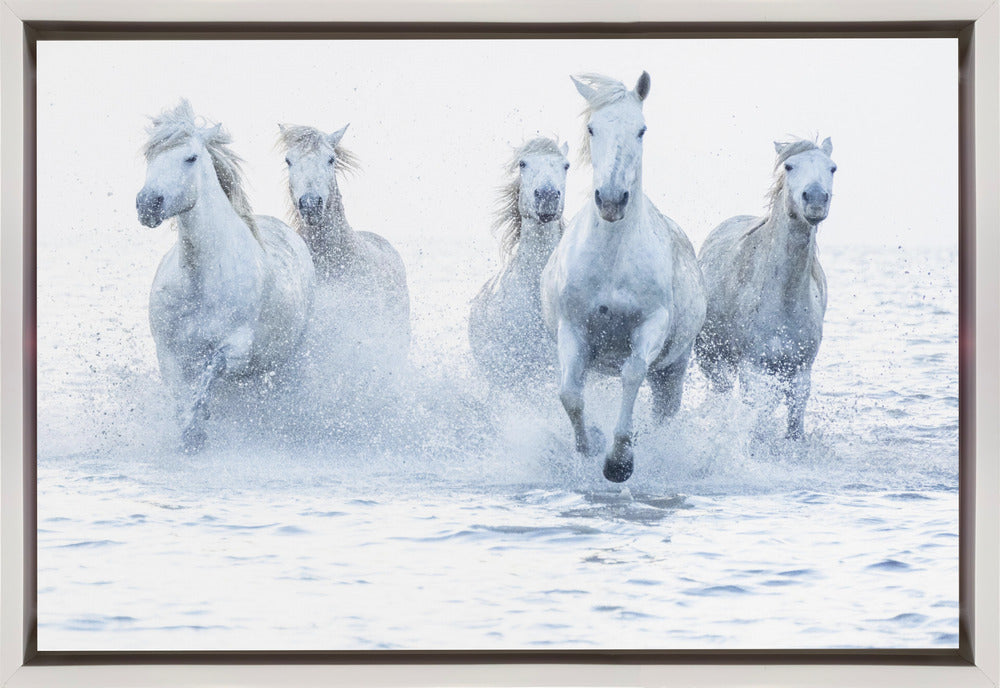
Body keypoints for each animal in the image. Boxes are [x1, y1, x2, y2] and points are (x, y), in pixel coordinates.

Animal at [136, 101, 316, 453]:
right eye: (150, 156)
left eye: (190, 157)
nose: (148, 204)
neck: (200, 279)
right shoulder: (168, 352)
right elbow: (182, 394)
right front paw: (190, 430)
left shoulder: (237, 349)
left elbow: (210, 372)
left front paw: (196, 428)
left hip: (286, 359)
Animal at [541, 72, 707, 483]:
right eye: (592, 128)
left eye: (641, 130)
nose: (612, 200)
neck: (612, 260)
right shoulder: (573, 329)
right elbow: (569, 394)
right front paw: (589, 446)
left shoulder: (651, 325)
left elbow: (632, 374)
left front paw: (619, 460)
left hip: (673, 369)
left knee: (664, 412)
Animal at [694, 137, 836, 439]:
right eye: (789, 165)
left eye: (832, 168)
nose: (815, 199)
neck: (784, 297)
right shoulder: (753, 370)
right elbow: (756, 417)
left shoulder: (799, 373)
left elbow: (793, 425)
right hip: (714, 361)